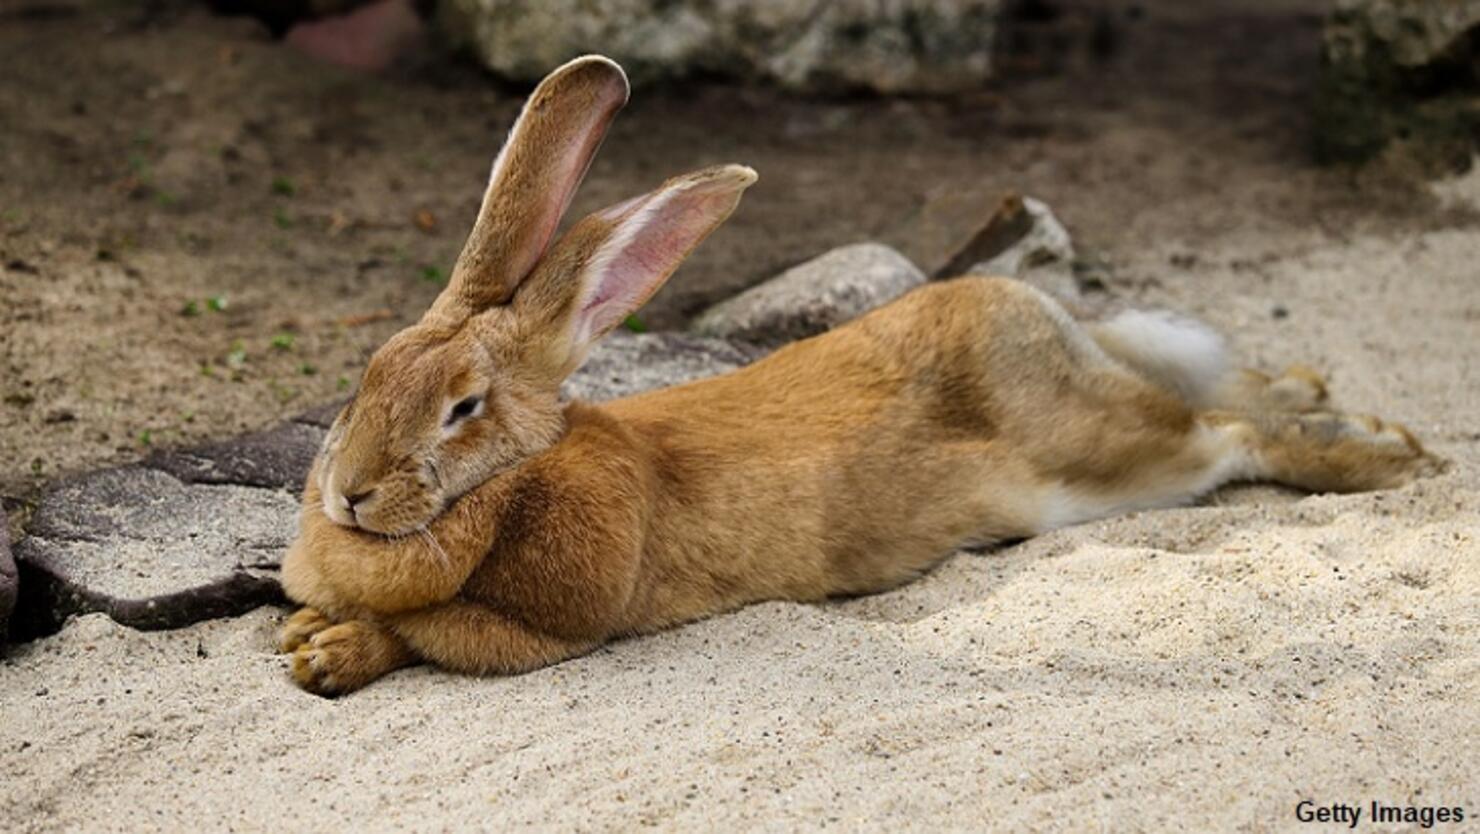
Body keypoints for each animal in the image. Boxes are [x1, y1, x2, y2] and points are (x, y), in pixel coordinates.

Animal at [278, 53, 1444, 697]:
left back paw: (1389, 459)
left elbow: (428, 634)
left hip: (1109, 463)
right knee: (1221, 396)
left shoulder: (555, 615)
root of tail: (1030, 311)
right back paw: (1315, 389)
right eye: (363, 381)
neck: (517, 475)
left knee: (1227, 441)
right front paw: (303, 634)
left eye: (463, 410)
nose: (350, 495)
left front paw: (325, 652)